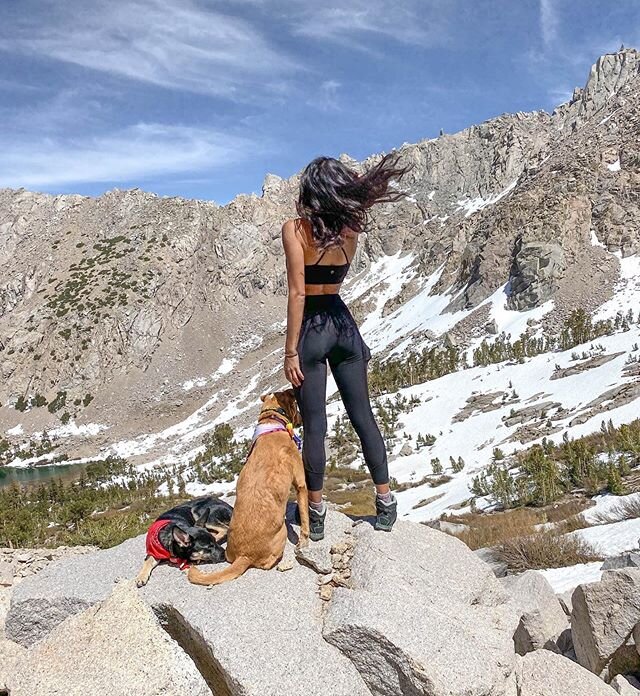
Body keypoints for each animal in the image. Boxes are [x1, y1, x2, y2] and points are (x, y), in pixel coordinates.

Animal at [188, 388, 310, 584]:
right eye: (297, 405)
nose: (301, 419)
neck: (271, 422)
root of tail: (243, 555)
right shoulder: (300, 484)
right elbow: (305, 520)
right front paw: (304, 541)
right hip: (282, 532)